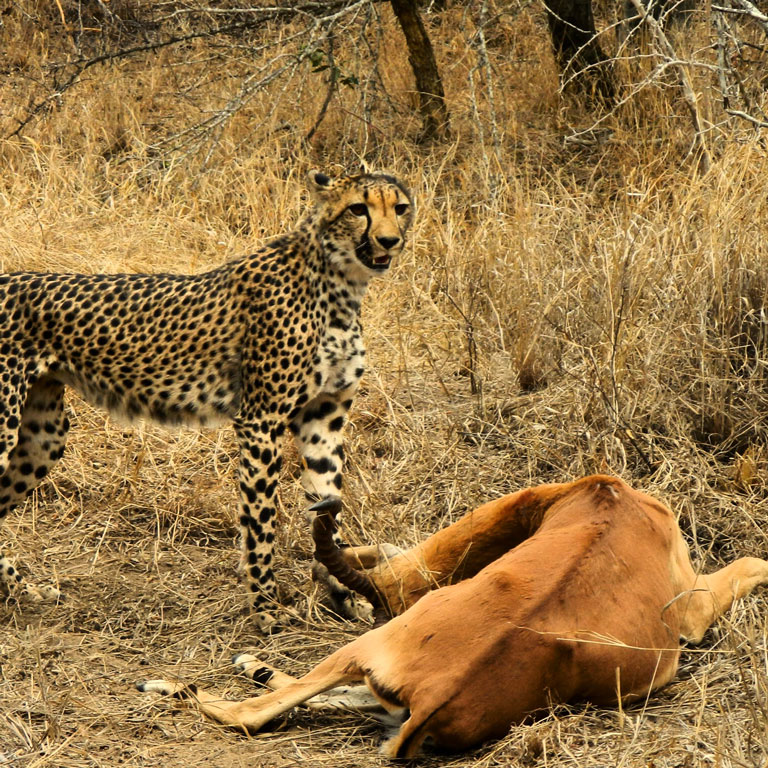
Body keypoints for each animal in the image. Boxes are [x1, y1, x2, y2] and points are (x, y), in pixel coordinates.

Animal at [0, 169, 414, 632]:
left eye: (400, 207)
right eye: (358, 208)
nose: (389, 240)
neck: (339, 282)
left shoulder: (324, 418)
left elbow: (329, 508)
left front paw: (346, 595)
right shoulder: (261, 420)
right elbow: (260, 521)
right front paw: (266, 610)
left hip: (43, 436)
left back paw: (23, 591)